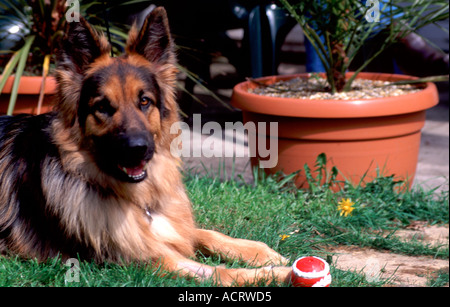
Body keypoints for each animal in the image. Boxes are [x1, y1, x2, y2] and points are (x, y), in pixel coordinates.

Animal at [0, 7, 290, 286]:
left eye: (144, 101)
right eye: (102, 107)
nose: (137, 148)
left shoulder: (163, 230)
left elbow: (204, 233)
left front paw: (259, 252)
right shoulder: (147, 258)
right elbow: (224, 273)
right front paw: (280, 274)